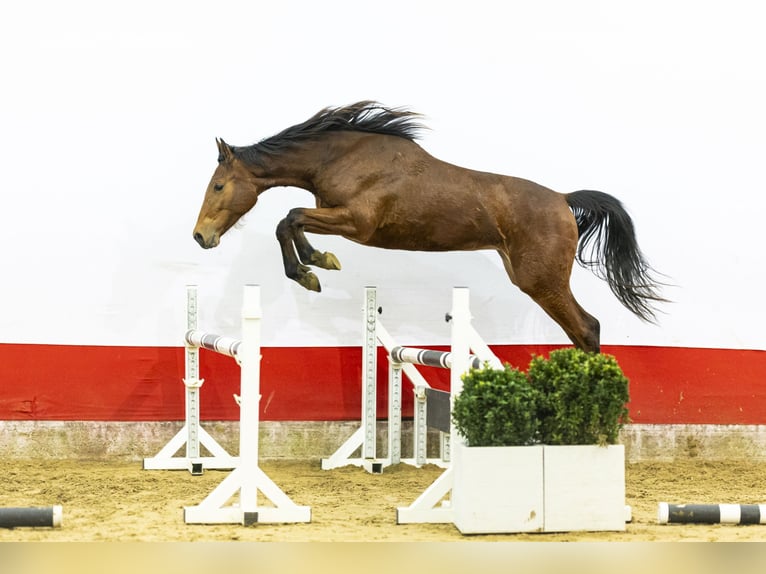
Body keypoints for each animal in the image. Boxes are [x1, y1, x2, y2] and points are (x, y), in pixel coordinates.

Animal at [193, 101, 665, 353]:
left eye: (218, 185)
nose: (200, 236)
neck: (341, 157)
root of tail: (564, 200)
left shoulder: (356, 222)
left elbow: (289, 218)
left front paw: (313, 266)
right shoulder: (337, 217)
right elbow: (290, 222)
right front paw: (314, 266)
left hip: (541, 280)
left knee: (587, 328)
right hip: (532, 279)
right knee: (580, 331)